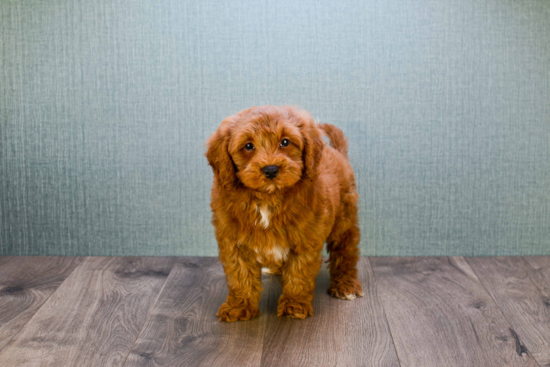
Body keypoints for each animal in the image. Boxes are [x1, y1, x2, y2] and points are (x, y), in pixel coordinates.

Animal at [205, 104, 364, 322]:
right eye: (248, 146)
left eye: (285, 142)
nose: (271, 169)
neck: (268, 198)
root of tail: (336, 152)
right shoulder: (233, 241)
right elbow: (240, 275)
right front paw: (239, 307)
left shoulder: (305, 239)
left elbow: (299, 274)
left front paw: (294, 306)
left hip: (344, 219)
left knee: (345, 250)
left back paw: (346, 284)